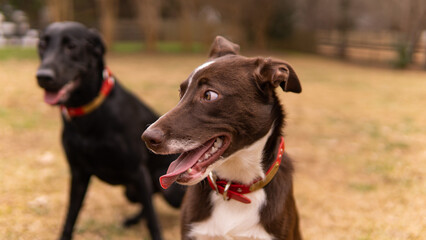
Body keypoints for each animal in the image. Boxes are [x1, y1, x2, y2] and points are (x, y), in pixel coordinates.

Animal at [35, 21, 185, 240]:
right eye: (42, 45)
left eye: (71, 46)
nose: (43, 76)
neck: (88, 114)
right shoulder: (78, 174)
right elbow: (70, 217)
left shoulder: (137, 171)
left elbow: (153, 221)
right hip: (131, 192)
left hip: (169, 190)